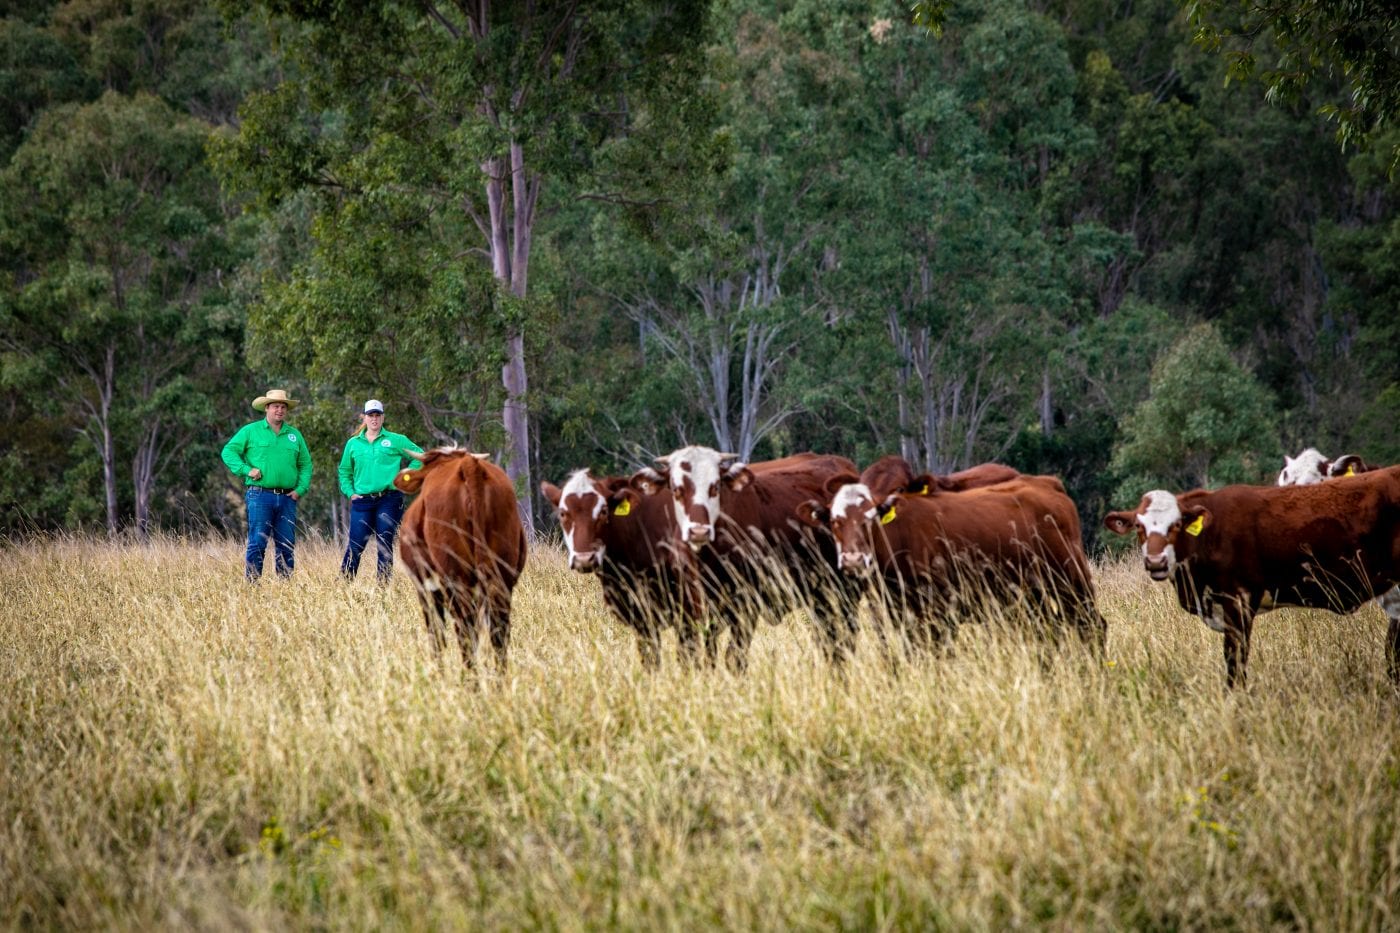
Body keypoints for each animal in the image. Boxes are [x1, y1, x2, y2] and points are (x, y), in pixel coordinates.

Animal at [397, 445, 526, 669]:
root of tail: (469, 465)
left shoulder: (424, 586)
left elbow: (436, 633)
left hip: (457, 578)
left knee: (465, 629)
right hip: (502, 576)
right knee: (498, 631)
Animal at [632, 448, 862, 672]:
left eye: (715, 487)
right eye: (676, 489)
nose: (698, 531)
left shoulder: (747, 606)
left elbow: (735, 658)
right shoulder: (693, 608)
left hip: (847, 592)